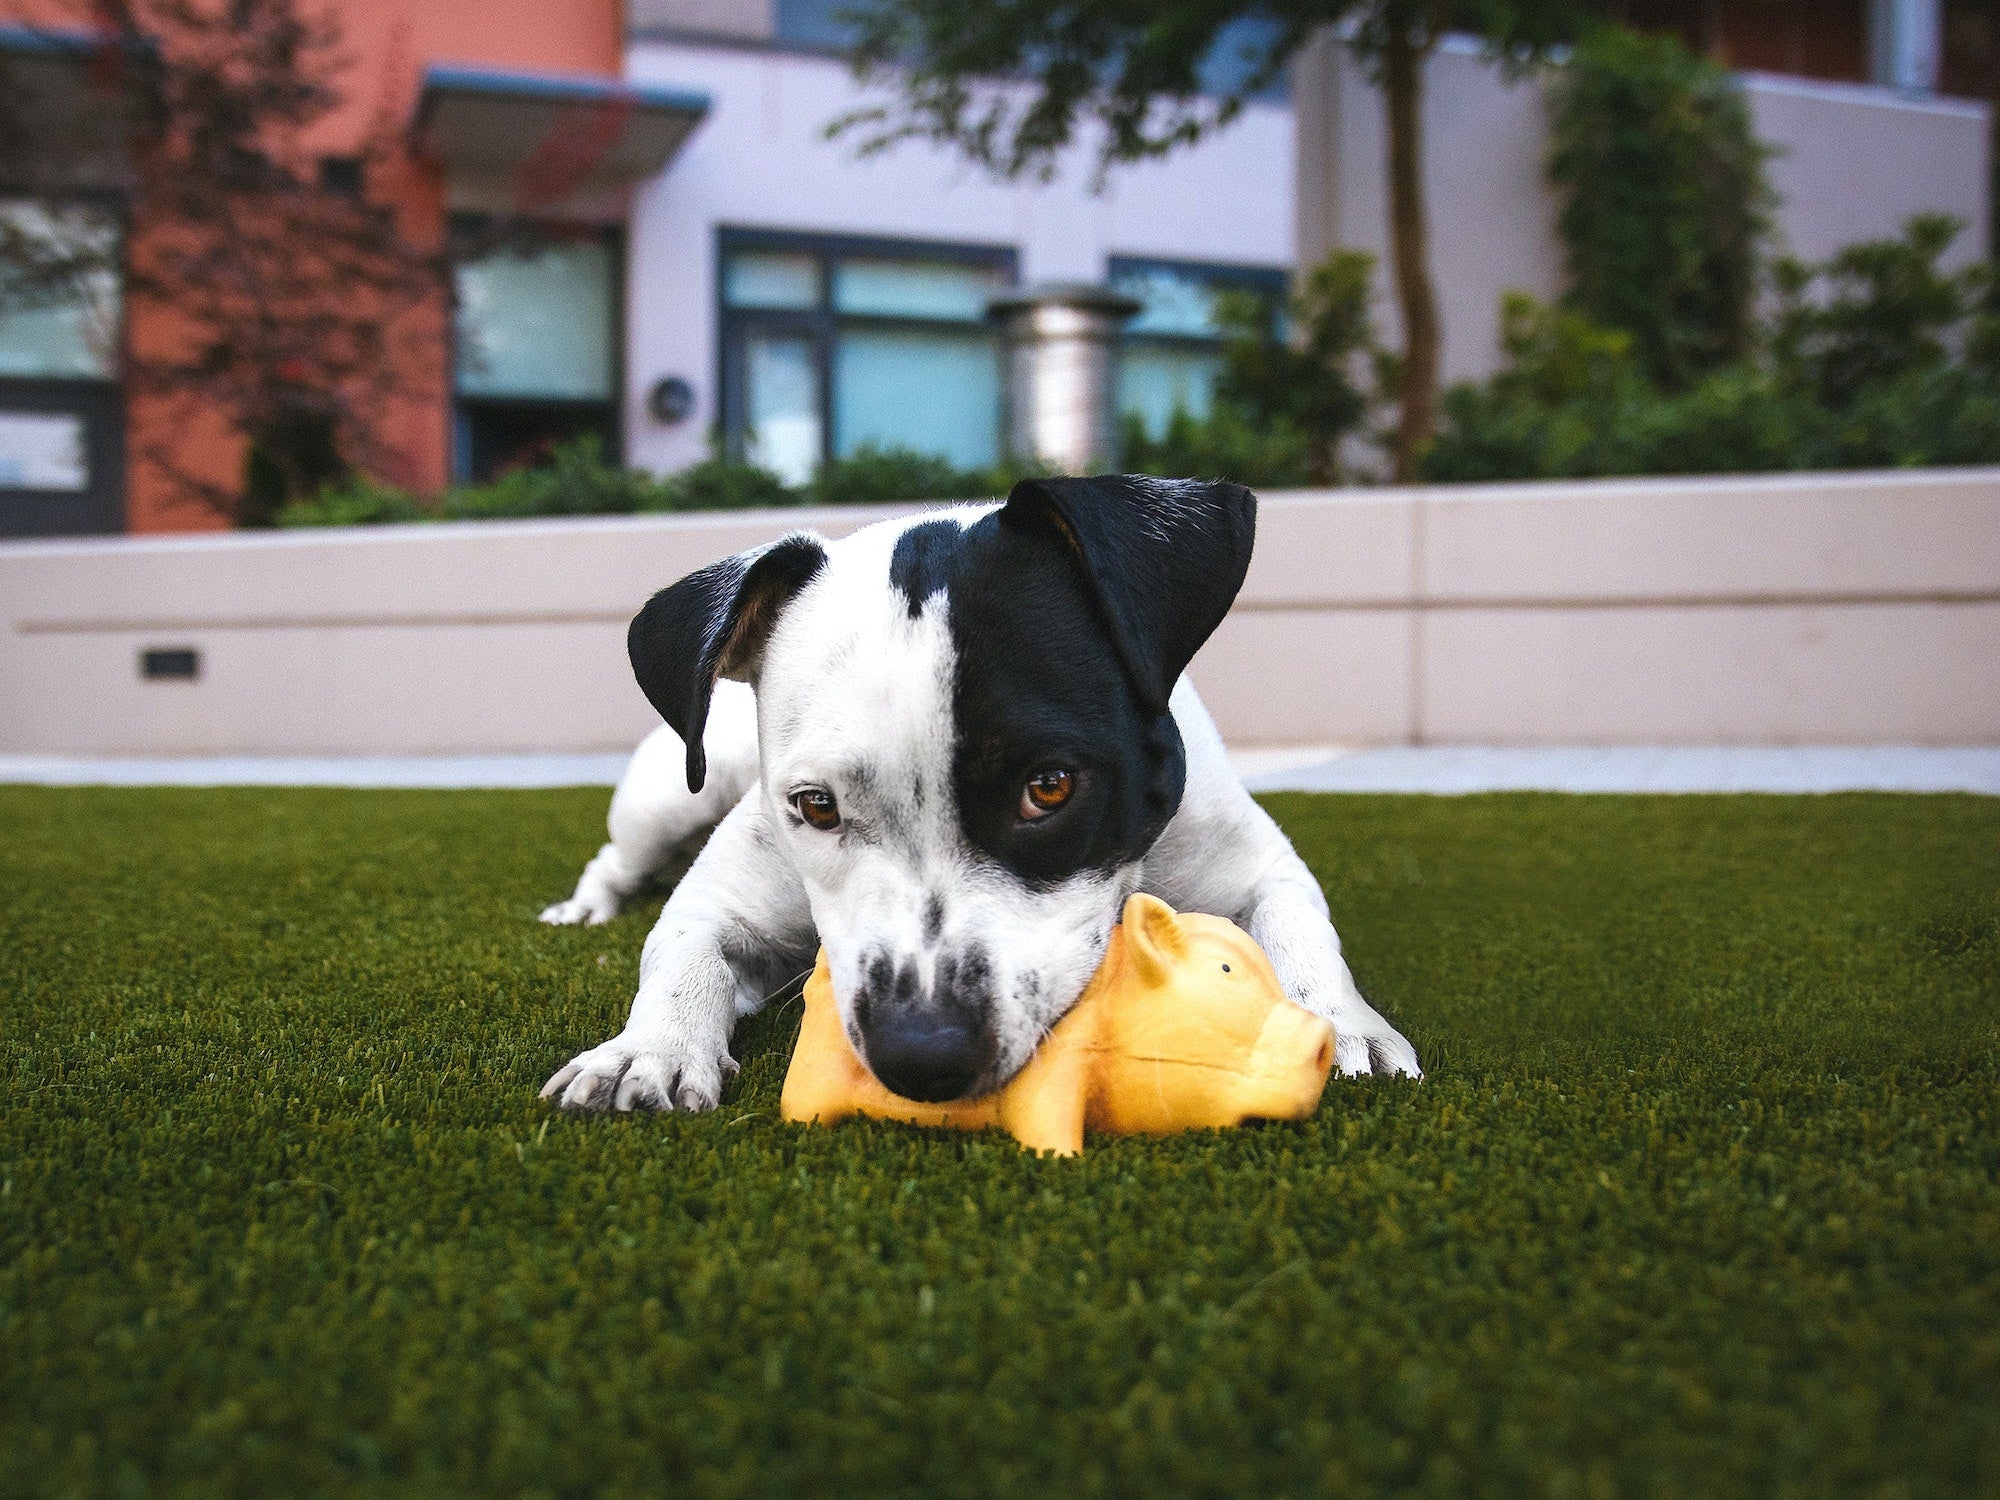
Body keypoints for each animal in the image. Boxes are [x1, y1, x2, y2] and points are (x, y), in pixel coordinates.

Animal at [544, 472, 1424, 1120]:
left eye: (1050, 787)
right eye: (816, 806)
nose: (921, 1052)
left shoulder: (1257, 864)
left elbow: (1299, 930)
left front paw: (1341, 1022)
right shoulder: (722, 899)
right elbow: (681, 953)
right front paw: (646, 1049)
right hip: (666, 798)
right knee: (615, 857)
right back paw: (585, 908)